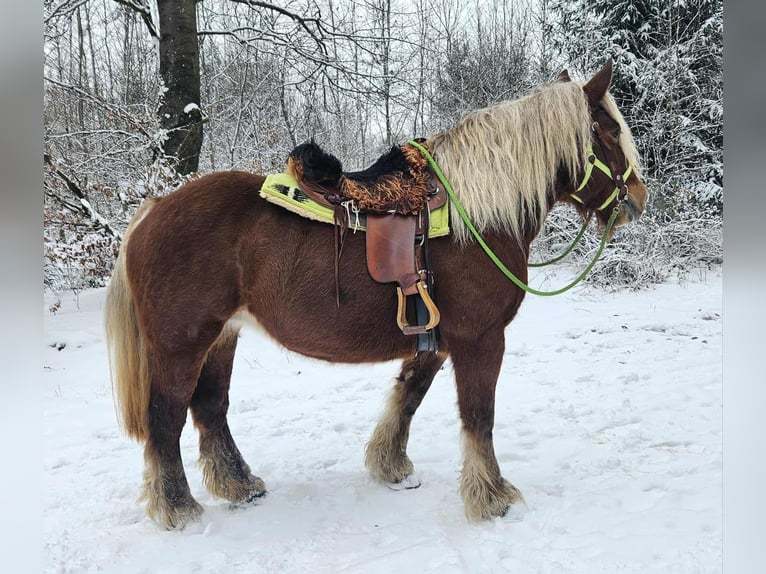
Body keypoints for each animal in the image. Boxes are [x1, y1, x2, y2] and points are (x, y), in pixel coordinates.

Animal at [104, 59, 648, 530]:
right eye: (610, 132)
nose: (639, 198)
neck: (476, 213)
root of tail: (153, 209)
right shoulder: (480, 338)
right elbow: (479, 416)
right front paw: (492, 497)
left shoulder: (434, 336)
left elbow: (407, 396)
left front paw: (390, 465)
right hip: (181, 345)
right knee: (166, 418)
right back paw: (177, 508)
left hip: (223, 336)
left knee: (211, 408)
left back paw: (237, 485)